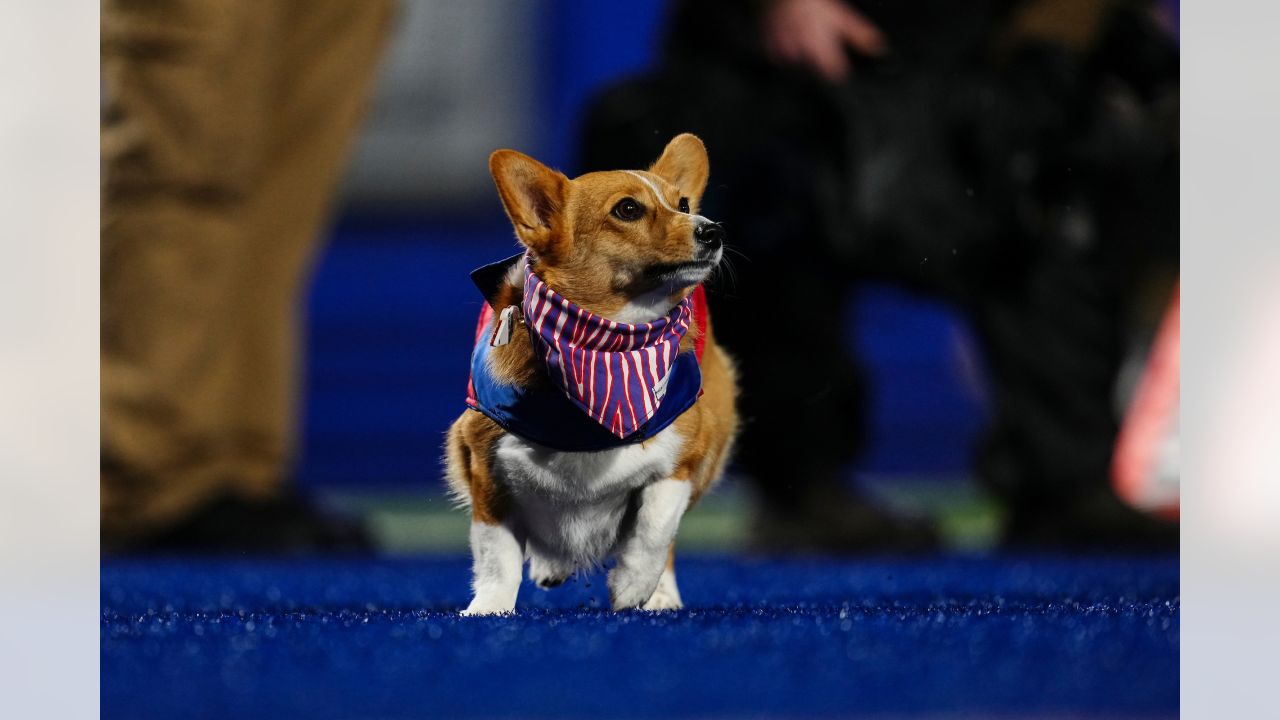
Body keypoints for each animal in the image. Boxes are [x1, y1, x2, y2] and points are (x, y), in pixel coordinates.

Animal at [445, 133, 742, 609]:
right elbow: (497, 556)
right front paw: (488, 609)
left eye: (681, 203)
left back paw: (661, 596)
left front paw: (634, 586)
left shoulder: (685, 457)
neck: (607, 350)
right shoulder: (483, 465)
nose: (713, 231)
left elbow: (656, 526)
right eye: (628, 209)